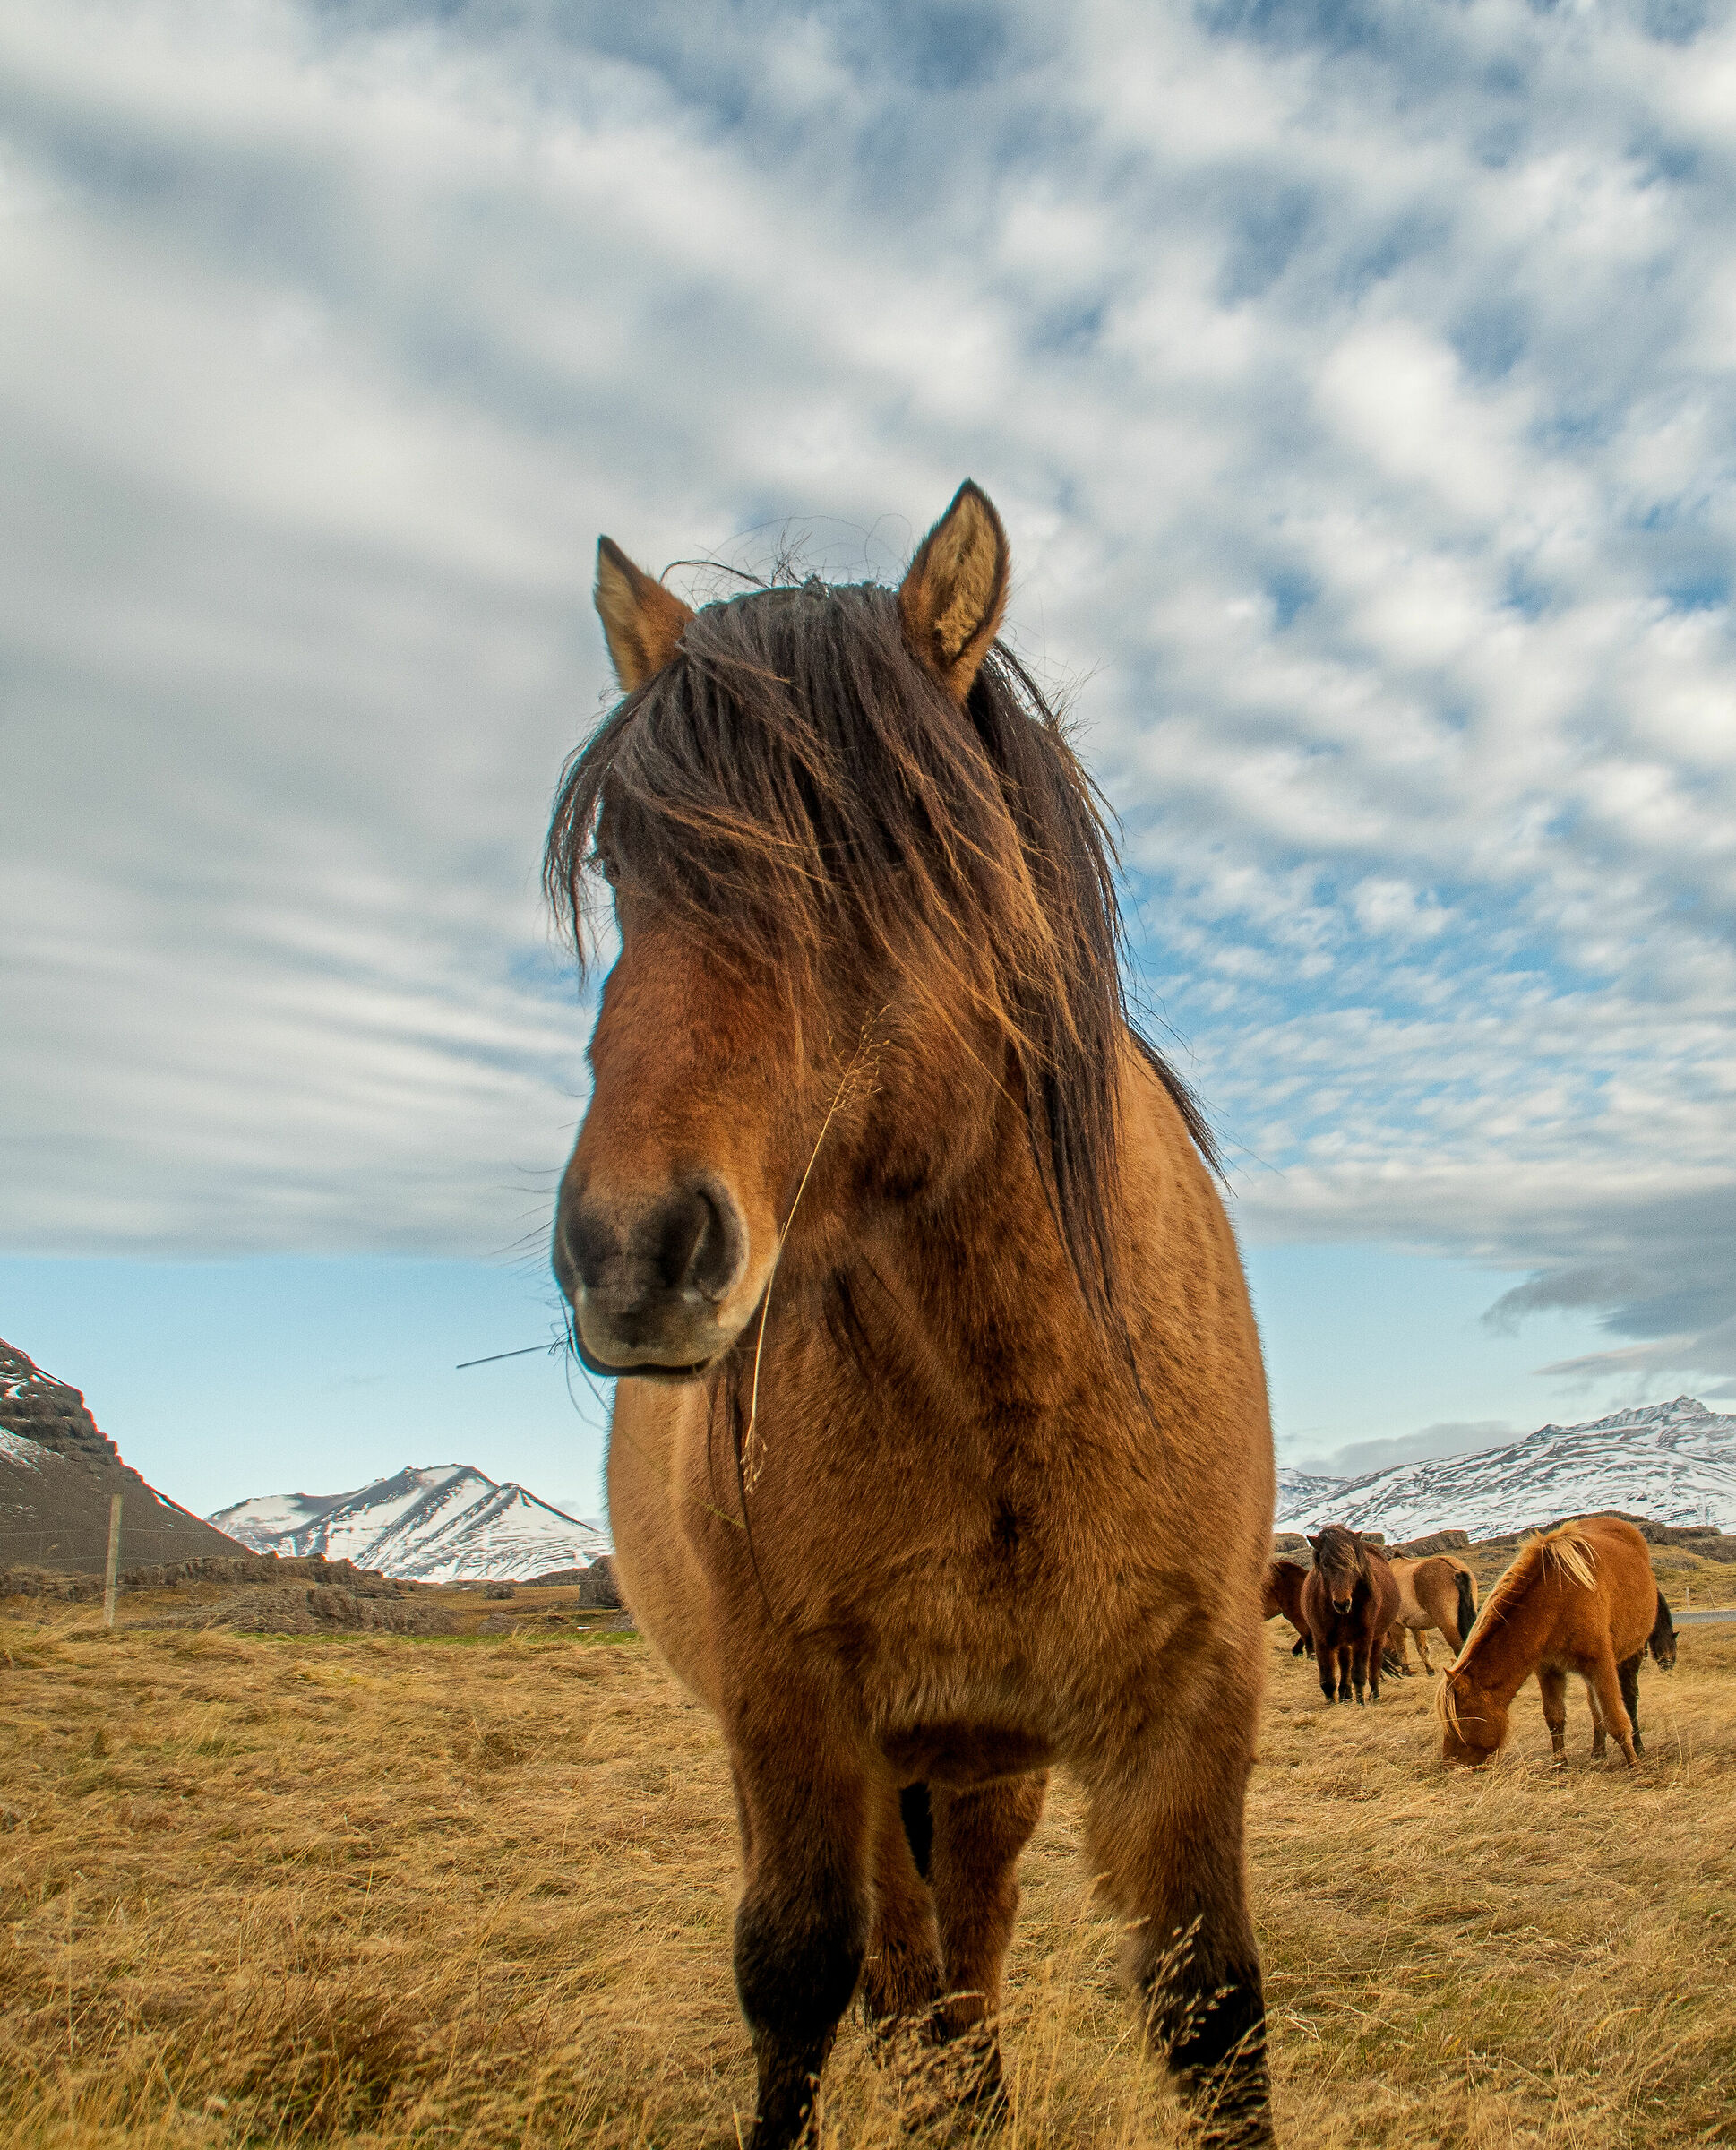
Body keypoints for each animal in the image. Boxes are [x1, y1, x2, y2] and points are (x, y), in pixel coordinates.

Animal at [545, 484, 1278, 2148]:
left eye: (886, 849)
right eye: (622, 864)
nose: (631, 1254)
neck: (1009, 1389)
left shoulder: (1186, 1715)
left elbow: (1211, 2019)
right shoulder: (796, 1714)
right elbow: (797, 1983)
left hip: (986, 1767)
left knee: (966, 1970)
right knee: (907, 1977)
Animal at [1301, 1527, 1400, 1705]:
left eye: (1353, 1564)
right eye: (1325, 1564)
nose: (1342, 1603)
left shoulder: (1364, 1638)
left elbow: (1359, 1674)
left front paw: (1361, 1703)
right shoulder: (1321, 1638)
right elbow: (1327, 1679)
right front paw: (1332, 1703)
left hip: (1378, 1637)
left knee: (1374, 1662)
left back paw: (1374, 1694)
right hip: (1343, 1641)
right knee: (1345, 1663)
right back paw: (1345, 1694)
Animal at [1383, 1554, 1478, 1675]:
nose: (1392, 1656)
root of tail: (1456, 1571)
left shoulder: (1396, 1625)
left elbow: (1401, 1647)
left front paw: (1406, 1670)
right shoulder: (1416, 1626)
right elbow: (1422, 1648)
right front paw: (1430, 1669)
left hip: (1448, 1627)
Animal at [1438, 1516, 1657, 1767]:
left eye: (1459, 1723)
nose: (1448, 1764)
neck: (1556, 1602)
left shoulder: (1601, 1664)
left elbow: (1615, 1718)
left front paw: (1633, 1764)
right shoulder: (1548, 1669)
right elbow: (1555, 1718)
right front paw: (1560, 1765)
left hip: (1631, 1653)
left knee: (1629, 1698)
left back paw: (1638, 1747)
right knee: (1594, 1706)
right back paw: (1598, 1751)